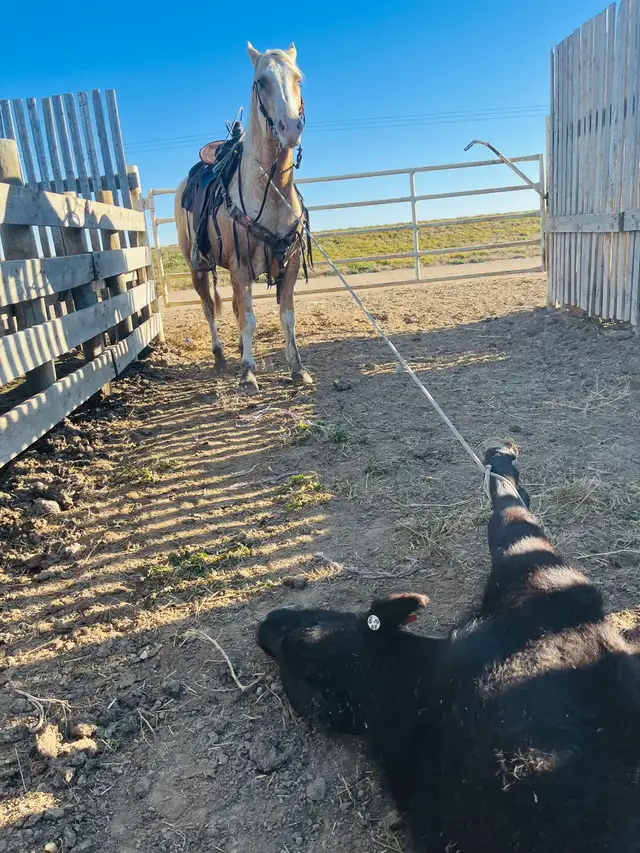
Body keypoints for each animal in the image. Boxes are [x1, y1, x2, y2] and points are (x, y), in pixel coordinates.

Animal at [174, 42, 313, 393]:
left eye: (298, 78)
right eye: (260, 82)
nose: (291, 128)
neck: (270, 190)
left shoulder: (290, 262)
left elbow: (286, 317)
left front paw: (297, 368)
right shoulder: (240, 267)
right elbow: (248, 319)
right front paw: (248, 373)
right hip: (198, 267)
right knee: (209, 308)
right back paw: (221, 356)